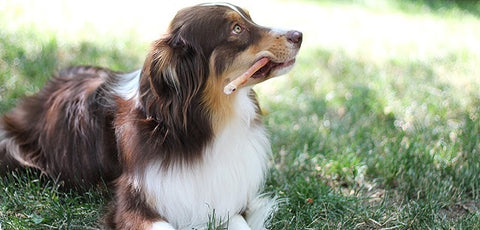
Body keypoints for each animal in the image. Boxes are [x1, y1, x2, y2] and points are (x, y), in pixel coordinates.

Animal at [0, 2, 300, 230]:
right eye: (236, 29)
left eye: (250, 18)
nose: (299, 34)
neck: (205, 123)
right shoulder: (133, 204)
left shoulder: (225, 196)